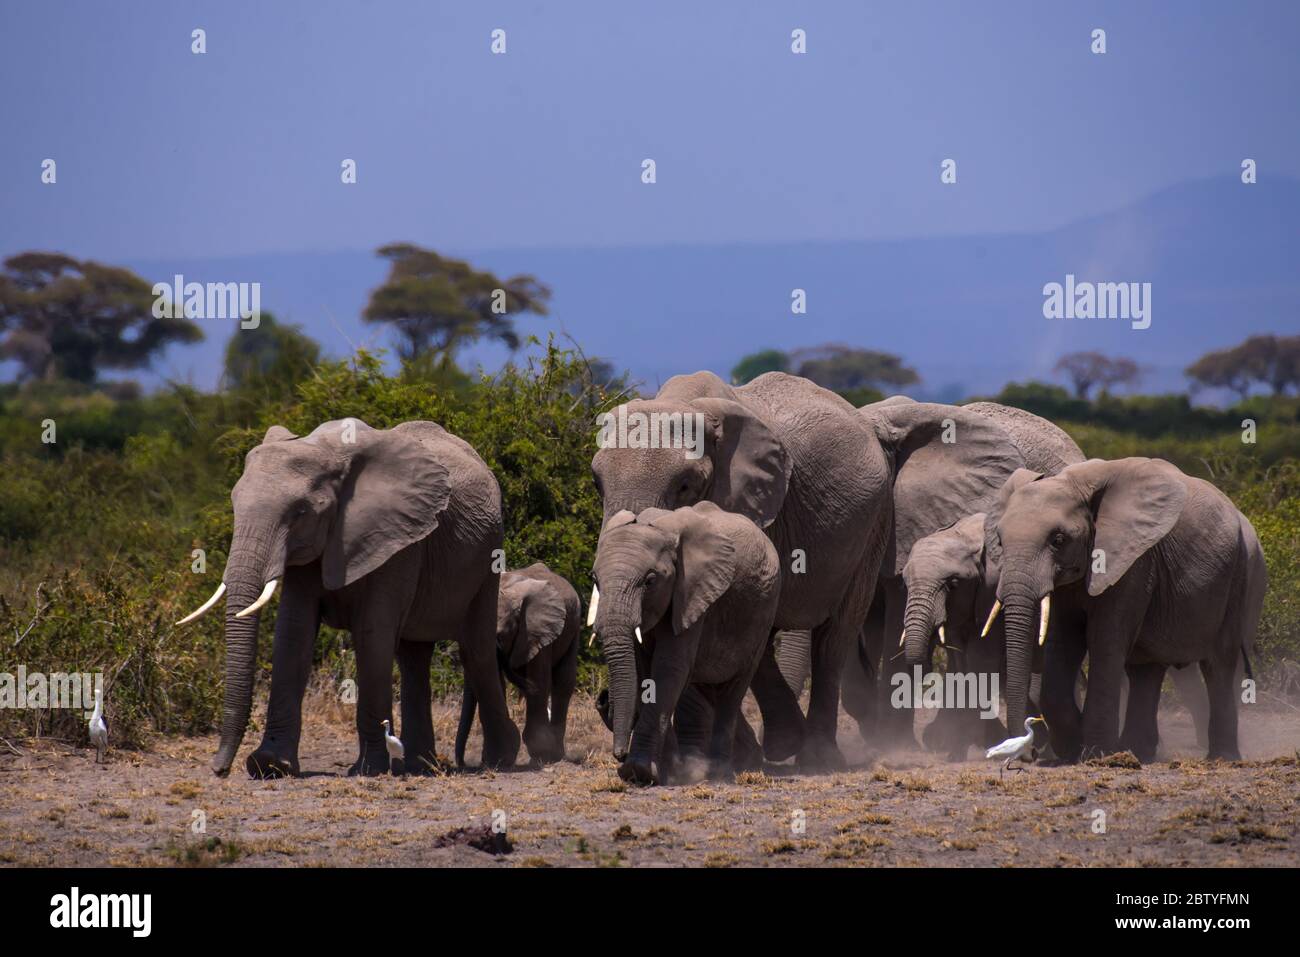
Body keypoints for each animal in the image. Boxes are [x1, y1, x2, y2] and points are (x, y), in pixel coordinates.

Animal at [178, 418, 522, 780]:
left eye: (300, 512)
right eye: (234, 505)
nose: (219, 769)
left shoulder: (400, 539)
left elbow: (372, 634)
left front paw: (368, 769)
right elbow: (293, 631)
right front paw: (271, 765)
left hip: (488, 553)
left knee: (475, 649)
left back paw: (500, 757)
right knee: (414, 655)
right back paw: (420, 765)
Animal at [457, 564, 579, 764]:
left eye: (501, 636)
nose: (464, 763)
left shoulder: (537, 630)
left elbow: (539, 680)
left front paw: (541, 753)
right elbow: (497, 681)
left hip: (574, 624)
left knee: (563, 681)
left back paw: (555, 755)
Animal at [592, 501, 780, 785]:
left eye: (650, 581)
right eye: (595, 579)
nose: (619, 755)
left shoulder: (693, 594)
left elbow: (669, 668)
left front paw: (639, 771)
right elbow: (645, 671)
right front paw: (664, 772)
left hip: (764, 613)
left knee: (733, 690)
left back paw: (719, 774)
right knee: (708, 686)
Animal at [987, 455, 1263, 764]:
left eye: (1058, 540)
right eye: (1000, 540)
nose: (1029, 753)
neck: (1077, 483)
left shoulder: (1135, 563)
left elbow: (1105, 642)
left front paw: (1096, 753)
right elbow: (1063, 641)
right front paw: (1073, 749)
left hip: (1243, 573)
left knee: (1219, 663)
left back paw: (1221, 757)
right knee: (1146, 670)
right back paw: (1136, 751)